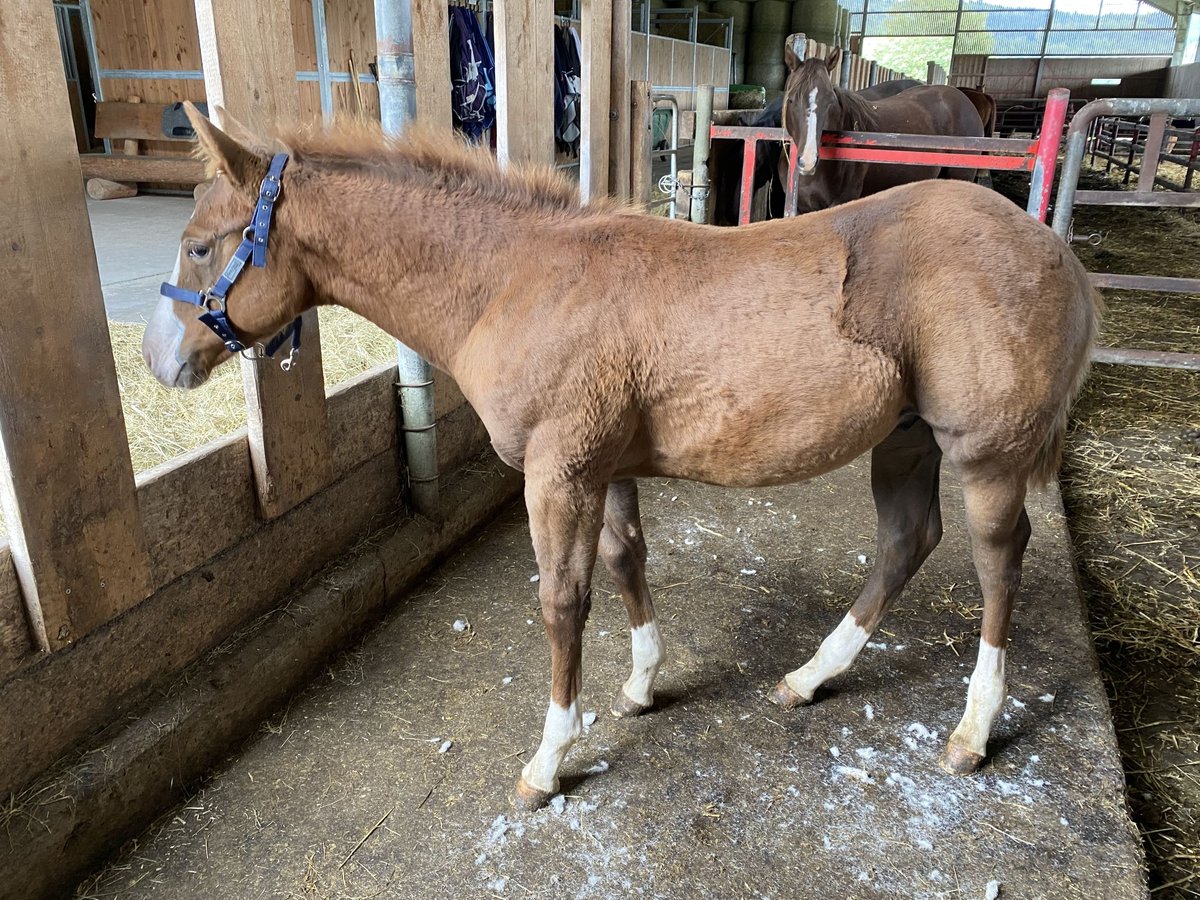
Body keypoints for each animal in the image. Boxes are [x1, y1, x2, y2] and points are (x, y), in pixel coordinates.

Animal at [140, 105, 1099, 811]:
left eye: (199, 244)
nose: (159, 362)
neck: (514, 280)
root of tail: (1054, 250)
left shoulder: (558, 477)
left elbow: (563, 605)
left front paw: (549, 760)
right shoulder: (607, 471)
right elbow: (628, 561)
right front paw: (642, 686)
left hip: (985, 454)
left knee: (997, 562)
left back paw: (973, 731)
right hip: (903, 440)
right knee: (906, 543)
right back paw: (809, 677)